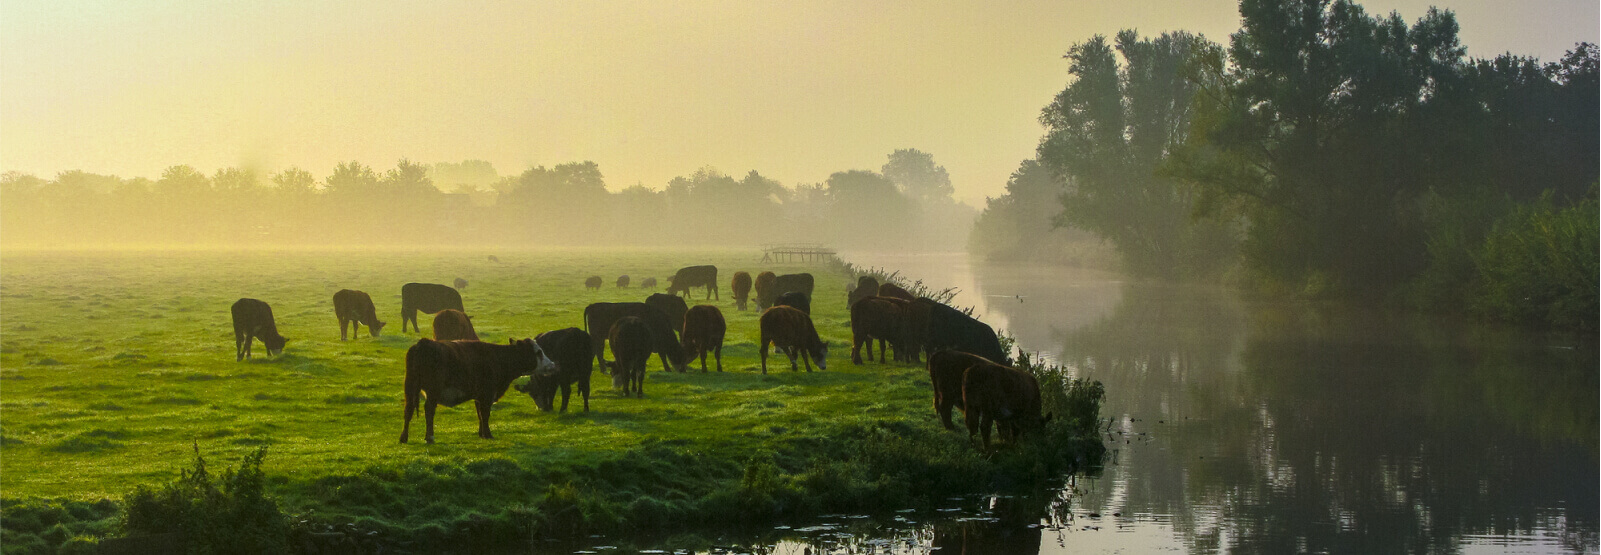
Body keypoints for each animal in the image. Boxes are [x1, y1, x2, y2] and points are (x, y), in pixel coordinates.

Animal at [398, 337, 557, 444]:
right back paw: (430, 437)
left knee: (408, 410)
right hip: (432, 390)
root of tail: (424, 343)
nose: (552, 365)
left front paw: (481, 434)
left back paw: (404, 437)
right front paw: (488, 434)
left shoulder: (479, 396)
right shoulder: (487, 394)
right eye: (538, 352)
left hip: (410, 386)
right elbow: (485, 414)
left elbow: (480, 414)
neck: (499, 358)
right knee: (429, 410)